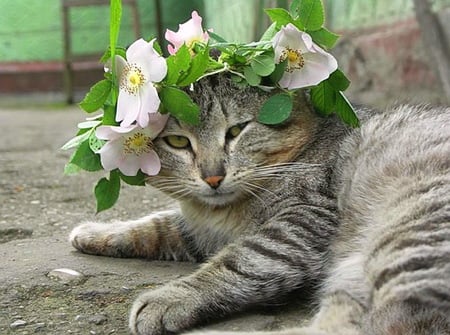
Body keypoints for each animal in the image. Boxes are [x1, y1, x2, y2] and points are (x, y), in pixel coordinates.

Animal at [69, 74, 450, 335]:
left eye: (236, 131)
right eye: (177, 142)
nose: (213, 177)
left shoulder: (300, 221)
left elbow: (240, 261)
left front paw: (172, 297)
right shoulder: (199, 230)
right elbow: (153, 225)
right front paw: (96, 232)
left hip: (407, 242)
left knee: (393, 324)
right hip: (351, 277)